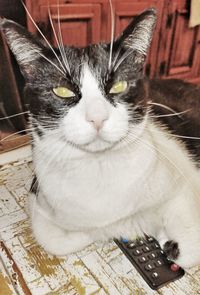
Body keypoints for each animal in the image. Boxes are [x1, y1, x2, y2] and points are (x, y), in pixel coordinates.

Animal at [0, 8, 199, 270]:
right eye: (62, 91)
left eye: (118, 86)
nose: (97, 118)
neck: (99, 166)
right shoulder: (41, 196)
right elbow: (54, 239)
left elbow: (188, 241)